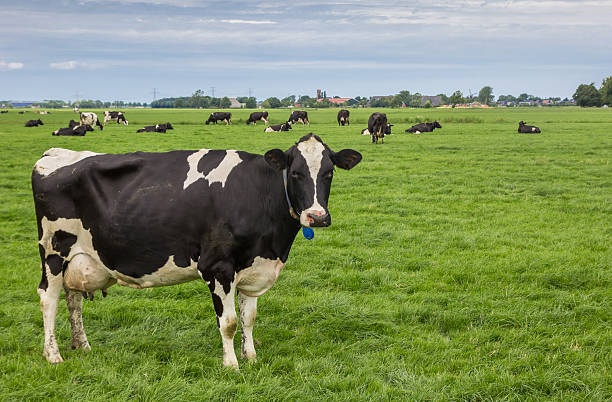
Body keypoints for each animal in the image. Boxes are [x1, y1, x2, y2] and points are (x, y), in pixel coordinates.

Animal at [32, 134, 364, 368]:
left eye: (329, 173)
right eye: (295, 173)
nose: (317, 216)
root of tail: (56, 153)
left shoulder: (253, 267)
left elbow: (249, 318)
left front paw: (251, 357)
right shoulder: (217, 266)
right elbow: (229, 322)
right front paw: (231, 365)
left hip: (78, 258)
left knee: (73, 298)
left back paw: (82, 345)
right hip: (53, 251)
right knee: (48, 298)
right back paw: (53, 354)